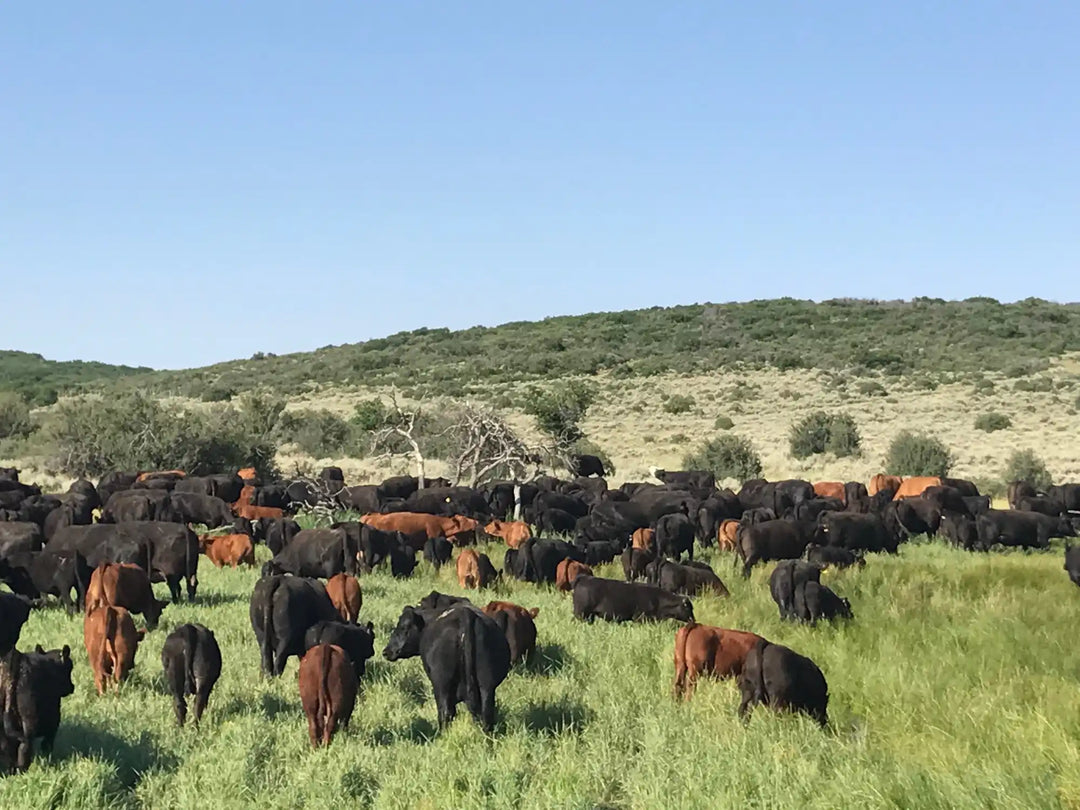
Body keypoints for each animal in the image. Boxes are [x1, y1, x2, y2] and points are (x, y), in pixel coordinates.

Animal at [0, 645, 74, 773]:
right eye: (69, 668)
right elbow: (47, 743)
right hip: (29, 719)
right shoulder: (55, 719)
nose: (72, 687)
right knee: (25, 745)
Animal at [383, 603, 511, 732]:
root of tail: (464, 614)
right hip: (486, 685)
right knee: (486, 713)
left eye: (403, 627)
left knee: (445, 713)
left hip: (441, 684)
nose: (386, 651)